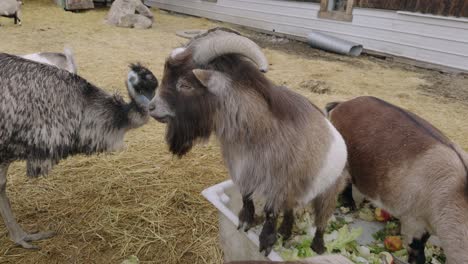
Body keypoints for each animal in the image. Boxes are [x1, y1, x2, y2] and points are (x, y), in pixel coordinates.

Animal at [148, 28, 350, 256]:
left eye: (185, 84)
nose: (151, 107)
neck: (256, 132)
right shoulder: (243, 171)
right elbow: (246, 196)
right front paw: (245, 220)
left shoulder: (278, 184)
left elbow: (270, 212)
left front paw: (266, 240)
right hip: (296, 193)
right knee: (290, 212)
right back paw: (285, 232)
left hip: (329, 191)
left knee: (321, 221)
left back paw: (318, 247)